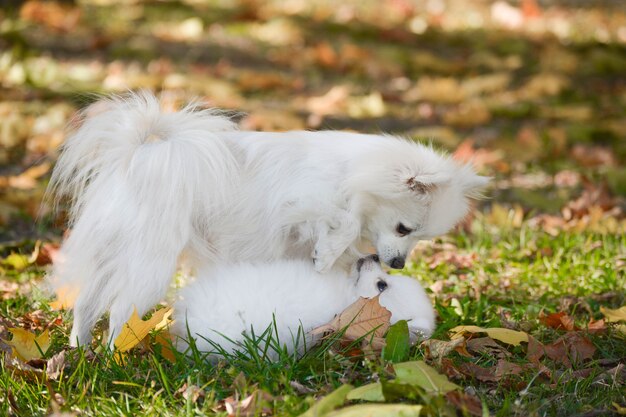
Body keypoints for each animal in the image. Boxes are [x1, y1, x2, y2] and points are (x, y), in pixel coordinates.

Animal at [48, 91, 486, 344]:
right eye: (403, 228)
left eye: (418, 239)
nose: (397, 263)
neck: (353, 174)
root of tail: (140, 155)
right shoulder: (302, 203)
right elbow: (340, 223)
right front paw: (328, 255)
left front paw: (327, 260)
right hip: (150, 262)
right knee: (121, 309)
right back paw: (116, 353)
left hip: (113, 253)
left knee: (86, 304)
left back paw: (81, 351)